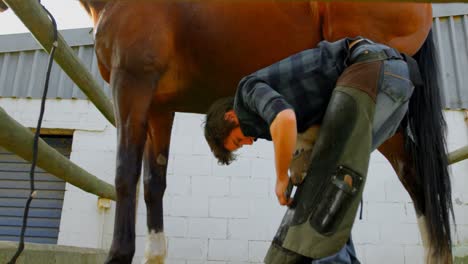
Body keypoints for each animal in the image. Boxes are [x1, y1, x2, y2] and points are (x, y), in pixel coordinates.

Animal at [0, 1, 454, 262]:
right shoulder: (160, 107)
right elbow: (154, 183)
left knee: (418, 184)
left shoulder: (132, 87)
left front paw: (119, 255)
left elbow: (124, 175)